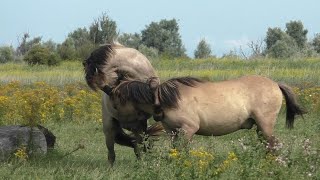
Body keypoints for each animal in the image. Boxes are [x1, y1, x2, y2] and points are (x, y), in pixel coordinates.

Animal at [109, 75, 304, 149]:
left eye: (116, 105)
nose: (121, 128)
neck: (164, 98)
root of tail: (275, 84)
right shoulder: (172, 131)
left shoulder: (188, 129)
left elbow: (183, 151)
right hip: (260, 128)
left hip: (265, 125)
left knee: (273, 145)